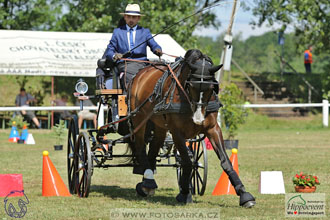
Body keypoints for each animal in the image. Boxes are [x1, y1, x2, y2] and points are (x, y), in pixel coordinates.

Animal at [127, 48, 256, 208]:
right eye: (191, 86)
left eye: (212, 88)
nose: (198, 118)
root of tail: (141, 73)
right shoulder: (177, 132)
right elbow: (187, 161)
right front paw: (184, 193)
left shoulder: (213, 129)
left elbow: (225, 161)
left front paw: (244, 194)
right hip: (139, 119)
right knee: (140, 148)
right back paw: (148, 180)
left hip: (159, 125)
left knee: (153, 149)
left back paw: (147, 183)